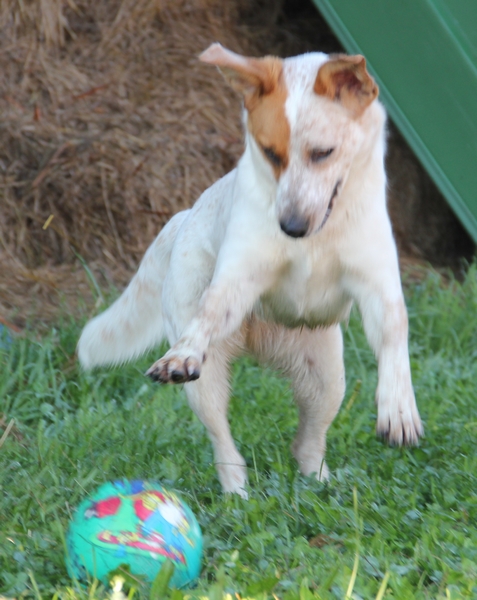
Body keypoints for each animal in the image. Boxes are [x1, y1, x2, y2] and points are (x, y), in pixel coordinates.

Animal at [79, 43, 424, 496]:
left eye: (323, 153)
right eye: (270, 152)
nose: (291, 227)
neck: (316, 238)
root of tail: (182, 218)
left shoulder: (377, 284)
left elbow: (395, 332)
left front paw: (398, 410)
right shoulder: (239, 278)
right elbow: (210, 312)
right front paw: (181, 353)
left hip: (327, 378)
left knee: (307, 442)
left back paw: (319, 484)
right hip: (207, 384)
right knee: (224, 444)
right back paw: (238, 493)